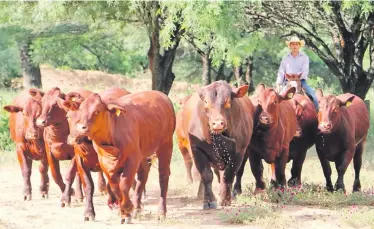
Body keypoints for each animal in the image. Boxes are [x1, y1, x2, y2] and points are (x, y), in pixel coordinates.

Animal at [67, 90, 175, 224]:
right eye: (81, 110)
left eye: (97, 111)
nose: (81, 128)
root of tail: (162, 96)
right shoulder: (104, 163)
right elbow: (114, 187)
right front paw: (124, 213)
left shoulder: (132, 159)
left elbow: (124, 185)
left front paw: (127, 208)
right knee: (143, 173)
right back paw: (137, 207)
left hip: (166, 145)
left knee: (163, 176)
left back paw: (161, 212)